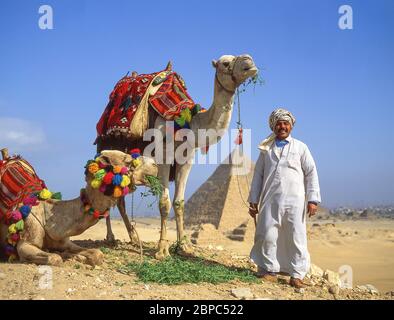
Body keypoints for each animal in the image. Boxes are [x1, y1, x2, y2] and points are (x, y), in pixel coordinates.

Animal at [0, 150, 157, 264]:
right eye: (129, 162)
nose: (155, 164)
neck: (48, 217)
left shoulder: (64, 240)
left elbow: (97, 254)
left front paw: (75, 256)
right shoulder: (26, 241)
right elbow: (54, 258)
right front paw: (63, 256)